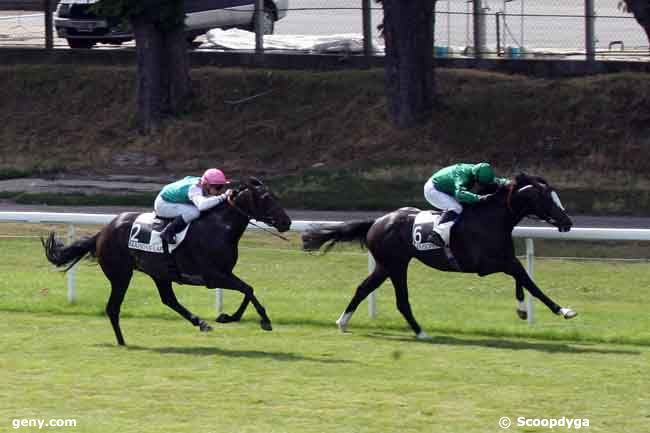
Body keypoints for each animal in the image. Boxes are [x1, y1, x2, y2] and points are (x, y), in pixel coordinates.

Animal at [41, 177, 290, 346]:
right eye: (267, 198)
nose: (286, 222)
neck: (220, 227)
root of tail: (102, 232)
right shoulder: (213, 276)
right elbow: (247, 289)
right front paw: (252, 319)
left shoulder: (223, 274)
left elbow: (249, 290)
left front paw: (229, 317)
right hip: (121, 275)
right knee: (113, 308)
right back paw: (122, 342)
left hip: (160, 273)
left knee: (168, 300)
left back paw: (200, 322)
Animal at [302, 174, 576, 340]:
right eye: (548, 200)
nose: (567, 222)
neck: (492, 218)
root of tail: (377, 222)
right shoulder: (486, 265)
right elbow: (528, 282)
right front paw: (564, 310)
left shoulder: (505, 259)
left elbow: (522, 280)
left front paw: (522, 310)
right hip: (395, 264)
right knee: (400, 300)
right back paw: (420, 332)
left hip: (386, 265)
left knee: (364, 288)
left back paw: (343, 322)